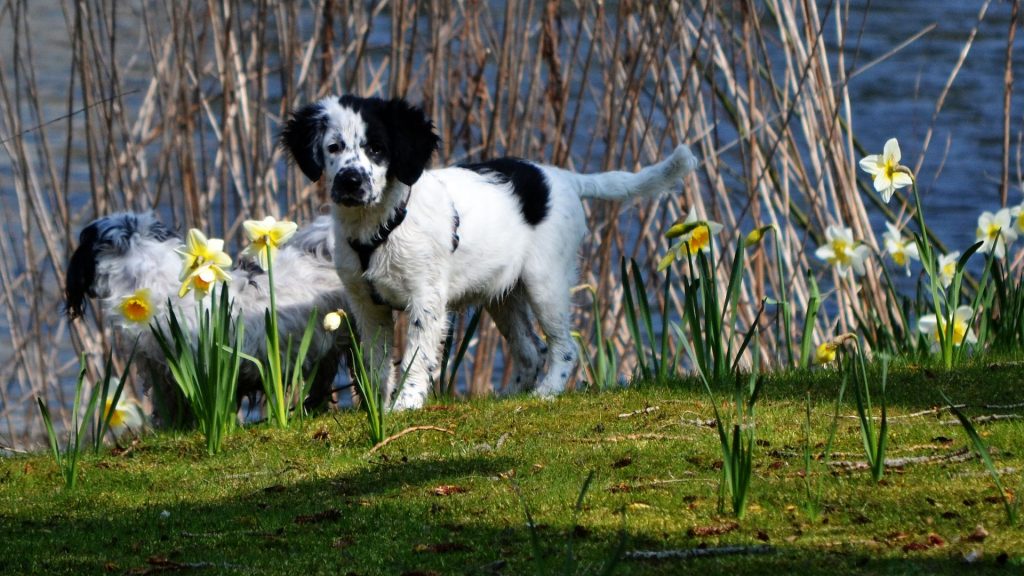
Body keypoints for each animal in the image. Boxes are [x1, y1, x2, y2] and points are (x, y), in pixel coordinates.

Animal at [278, 95, 696, 407]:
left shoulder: (426, 301)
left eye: (377, 149)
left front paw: (404, 407)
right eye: (333, 148)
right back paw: (507, 398)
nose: (350, 181)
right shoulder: (367, 305)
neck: (381, 225)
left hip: (546, 283)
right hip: (503, 295)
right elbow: (378, 364)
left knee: (564, 347)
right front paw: (378, 410)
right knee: (531, 351)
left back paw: (546, 393)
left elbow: (415, 358)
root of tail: (564, 177)